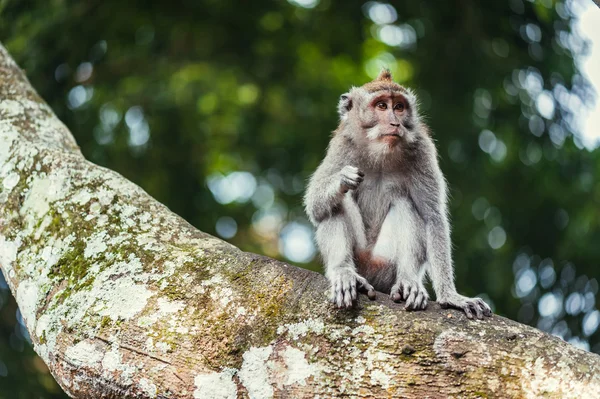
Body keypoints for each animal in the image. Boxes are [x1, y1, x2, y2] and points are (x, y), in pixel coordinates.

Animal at [304, 68, 492, 318]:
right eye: (382, 106)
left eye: (400, 107)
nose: (395, 122)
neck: (381, 152)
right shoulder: (342, 145)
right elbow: (314, 205)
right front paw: (343, 179)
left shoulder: (423, 149)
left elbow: (432, 217)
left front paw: (451, 296)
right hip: (360, 259)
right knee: (334, 205)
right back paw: (344, 273)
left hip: (385, 266)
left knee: (406, 205)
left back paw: (407, 281)